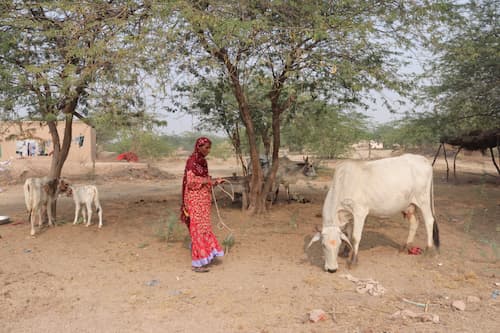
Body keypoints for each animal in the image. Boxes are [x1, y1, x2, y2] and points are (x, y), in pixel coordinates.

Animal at [306, 154, 440, 272]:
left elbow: (355, 237)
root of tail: (424, 160)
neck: (342, 183)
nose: (332, 269)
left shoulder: (360, 212)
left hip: (423, 200)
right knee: (414, 222)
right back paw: (405, 246)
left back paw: (429, 250)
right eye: (323, 245)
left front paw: (353, 261)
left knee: (429, 221)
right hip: (409, 205)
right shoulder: (349, 215)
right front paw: (346, 252)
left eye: (338, 244)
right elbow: (348, 234)